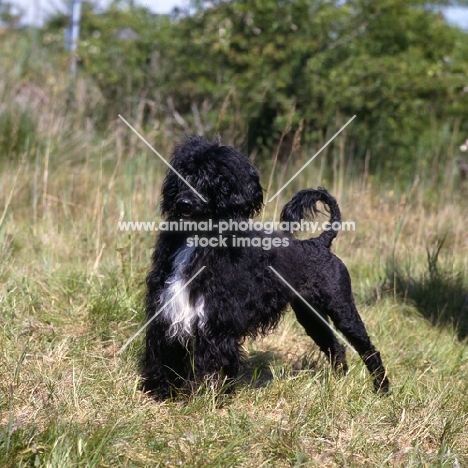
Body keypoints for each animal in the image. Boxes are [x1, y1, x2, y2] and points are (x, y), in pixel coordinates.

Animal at [141, 134, 390, 398]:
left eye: (214, 178)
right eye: (184, 173)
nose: (184, 202)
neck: (197, 239)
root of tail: (320, 242)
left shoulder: (217, 322)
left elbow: (212, 362)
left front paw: (209, 396)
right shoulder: (166, 312)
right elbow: (163, 355)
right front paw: (159, 391)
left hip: (341, 307)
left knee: (368, 348)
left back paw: (382, 389)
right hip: (309, 313)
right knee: (335, 346)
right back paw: (336, 384)